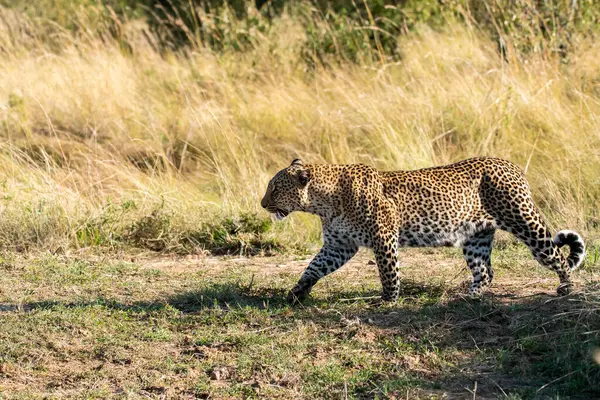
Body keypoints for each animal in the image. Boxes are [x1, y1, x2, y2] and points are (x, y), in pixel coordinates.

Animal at [258, 157, 584, 304]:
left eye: (274, 189)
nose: (262, 204)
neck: (323, 203)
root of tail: (511, 165)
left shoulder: (383, 237)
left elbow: (388, 271)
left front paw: (388, 300)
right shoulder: (339, 245)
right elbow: (314, 266)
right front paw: (297, 291)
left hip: (523, 221)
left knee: (557, 255)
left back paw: (566, 287)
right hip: (475, 237)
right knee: (486, 272)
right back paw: (470, 296)